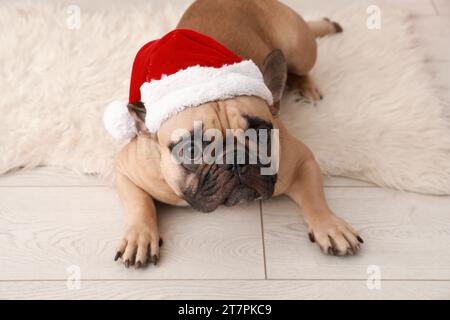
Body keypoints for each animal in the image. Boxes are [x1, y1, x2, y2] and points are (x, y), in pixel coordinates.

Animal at [111, 0, 362, 268]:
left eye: (261, 133)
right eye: (191, 150)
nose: (236, 160)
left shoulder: (302, 161)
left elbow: (315, 197)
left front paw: (330, 225)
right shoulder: (127, 171)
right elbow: (140, 204)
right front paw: (140, 236)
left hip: (299, 48)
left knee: (303, 60)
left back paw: (308, 83)